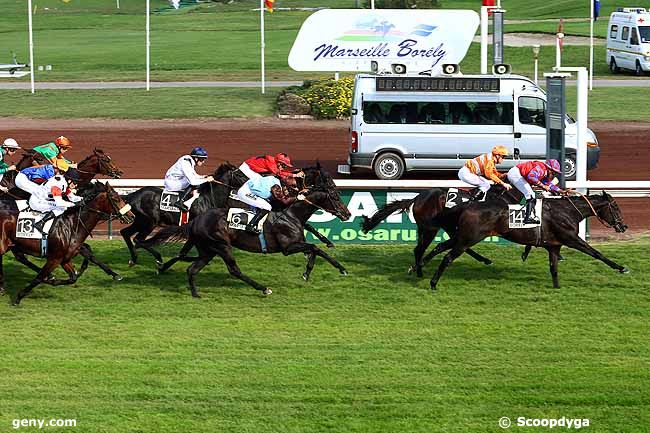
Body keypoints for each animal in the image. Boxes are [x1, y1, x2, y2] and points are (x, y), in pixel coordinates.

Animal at [0, 181, 134, 306]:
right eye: (116, 199)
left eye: (121, 197)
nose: (131, 216)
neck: (72, 225)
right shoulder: (54, 259)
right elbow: (39, 278)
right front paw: (18, 297)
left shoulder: (65, 259)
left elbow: (74, 276)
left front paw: (115, 275)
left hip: (13, 246)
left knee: (20, 258)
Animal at [120, 161, 334, 264]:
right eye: (326, 178)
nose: (251, 185)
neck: (209, 197)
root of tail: (133, 194)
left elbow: (307, 225)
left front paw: (326, 242)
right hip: (148, 222)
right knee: (137, 238)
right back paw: (153, 257)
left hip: (142, 221)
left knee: (127, 233)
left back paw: (135, 258)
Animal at [137, 167, 350, 298]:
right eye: (335, 196)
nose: (347, 213)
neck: (291, 213)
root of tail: (198, 219)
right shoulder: (287, 247)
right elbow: (315, 248)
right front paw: (338, 268)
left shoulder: (295, 243)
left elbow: (314, 248)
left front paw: (311, 270)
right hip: (221, 245)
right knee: (234, 270)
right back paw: (263, 289)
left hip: (208, 249)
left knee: (192, 268)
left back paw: (194, 292)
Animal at [426, 191, 628, 288]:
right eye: (615, 207)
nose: (623, 226)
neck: (567, 211)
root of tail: (467, 205)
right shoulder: (571, 239)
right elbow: (596, 253)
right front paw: (621, 268)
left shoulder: (554, 246)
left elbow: (554, 269)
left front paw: (557, 288)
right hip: (469, 238)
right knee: (447, 257)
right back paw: (433, 283)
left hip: (463, 237)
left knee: (440, 246)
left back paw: (420, 266)